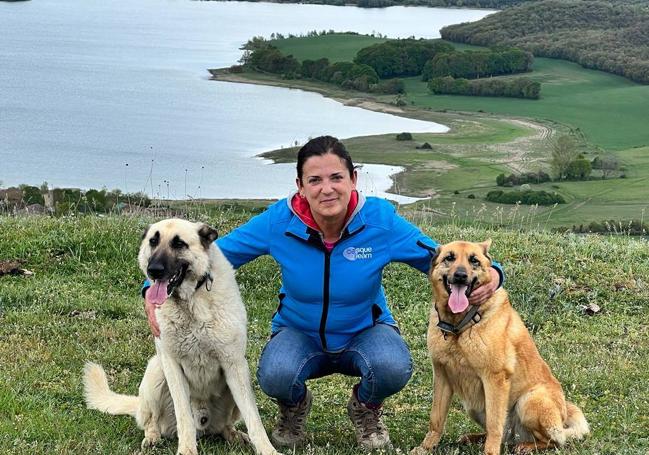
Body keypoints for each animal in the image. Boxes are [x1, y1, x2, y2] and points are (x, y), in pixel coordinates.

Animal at [412, 240, 588, 454]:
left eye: (474, 261)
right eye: (449, 258)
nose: (461, 276)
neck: (459, 327)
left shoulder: (494, 379)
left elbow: (495, 424)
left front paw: (490, 452)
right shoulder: (442, 376)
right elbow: (436, 419)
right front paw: (426, 447)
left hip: (529, 401)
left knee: (553, 441)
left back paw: (525, 446)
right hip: (474, 406)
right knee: (501, 435)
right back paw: (476, 438)